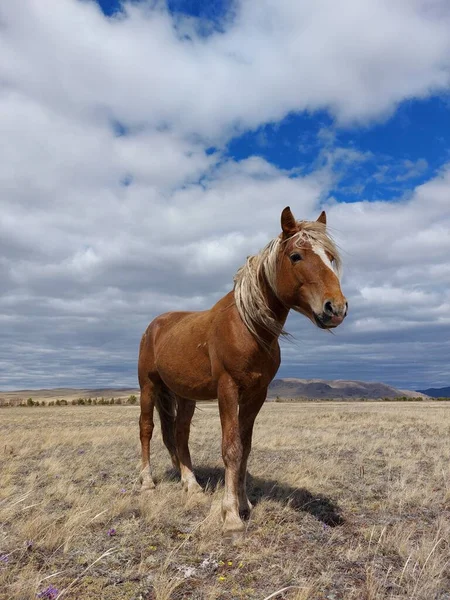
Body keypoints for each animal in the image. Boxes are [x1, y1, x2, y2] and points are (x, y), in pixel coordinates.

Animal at [137, 206, 348, 540]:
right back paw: (147, 482)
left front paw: (244, 503)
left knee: (179, 434)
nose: (336, 308)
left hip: (185, 396)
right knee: (146, 429)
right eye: (296, 256)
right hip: (148, 387)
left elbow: (245, 448)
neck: (248, 327)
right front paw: (231, 515)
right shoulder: (228, 389)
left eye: (329, 257)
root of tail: (155, 325)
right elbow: (231, 448)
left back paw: (190, 483)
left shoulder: (256, 394)